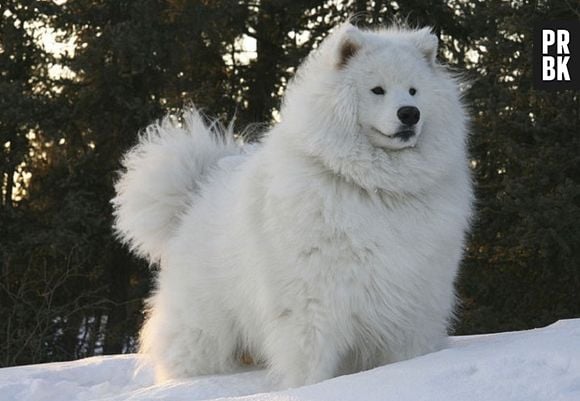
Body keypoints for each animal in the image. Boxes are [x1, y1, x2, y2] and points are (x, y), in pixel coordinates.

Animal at [112, 22, 472, 388]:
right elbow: (310, 364)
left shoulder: (412, 302)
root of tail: (196, 192)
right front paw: (308, 389)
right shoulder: (311, 306)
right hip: (205, 326)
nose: (409, 114)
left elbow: (407, 354)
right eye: (377, 90)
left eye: (414, 91)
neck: (376, 189)